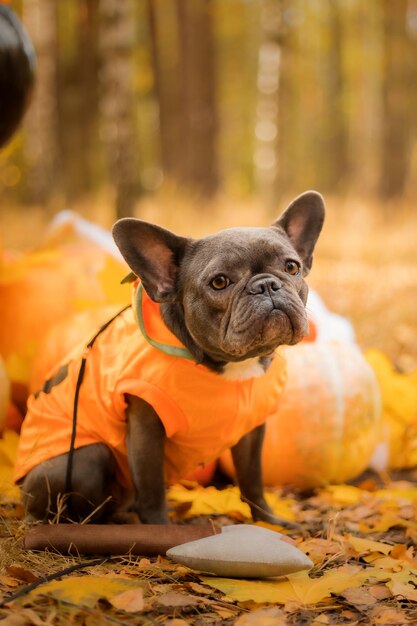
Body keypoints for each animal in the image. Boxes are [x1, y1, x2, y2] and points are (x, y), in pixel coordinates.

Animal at [17, 190, 324, 520]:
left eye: (291, 267)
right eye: (219, 282)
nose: (267, 284)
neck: (233, 365)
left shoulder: (252, 431)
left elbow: (252, 479)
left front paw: (268, 521)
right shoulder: (147, 429)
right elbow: (151, 488)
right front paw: (159, 526)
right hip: (85, 459)